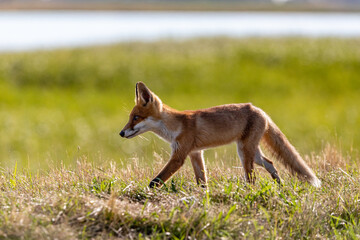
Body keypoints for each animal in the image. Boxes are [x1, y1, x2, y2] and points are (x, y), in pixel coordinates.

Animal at [120, 82, 320, 188]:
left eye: (136, 118)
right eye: (129, 117)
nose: (121, 133)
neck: (175, 126)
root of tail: (258, 109)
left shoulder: (179, 155)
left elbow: (156, 181)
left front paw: (144, 192)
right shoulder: (195, 153)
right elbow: (202, 180)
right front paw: (203, 195)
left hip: (245, 152)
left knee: (252, 178)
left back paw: (250, 191)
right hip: (251, 152)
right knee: (270, 163)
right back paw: (280, 186)